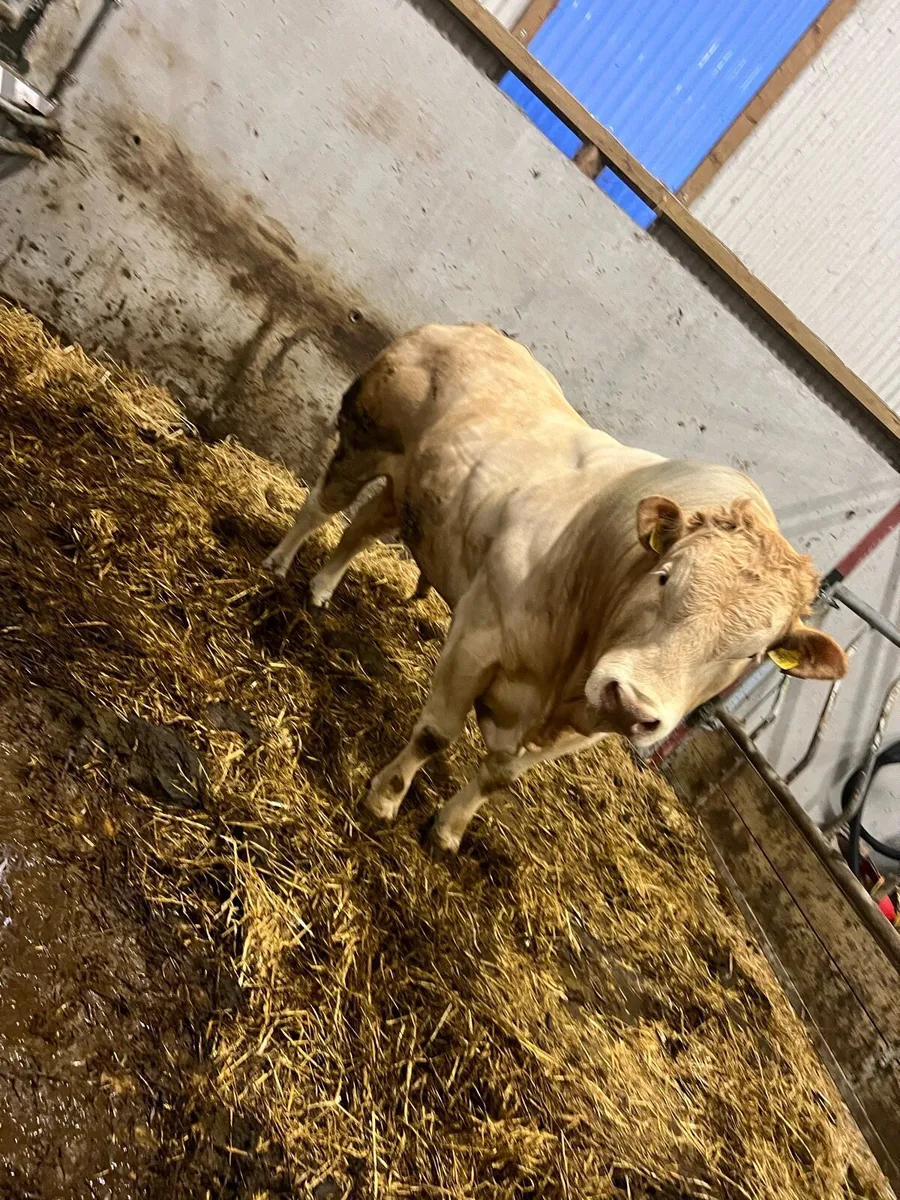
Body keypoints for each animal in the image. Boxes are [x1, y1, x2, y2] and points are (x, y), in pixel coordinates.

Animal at [263, 324, 847, 854]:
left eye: (752, 654)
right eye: (663, 577)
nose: (630, 702)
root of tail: (462, 330)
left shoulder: (584, 727)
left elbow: (501, 776)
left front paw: (448, 832)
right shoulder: (478, 635)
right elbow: (436, 733)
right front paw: (384, 799)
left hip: (412, 493)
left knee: (361, 529)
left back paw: (321, 589)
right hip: (363, 442)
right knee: (322, 506)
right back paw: (278, 565)